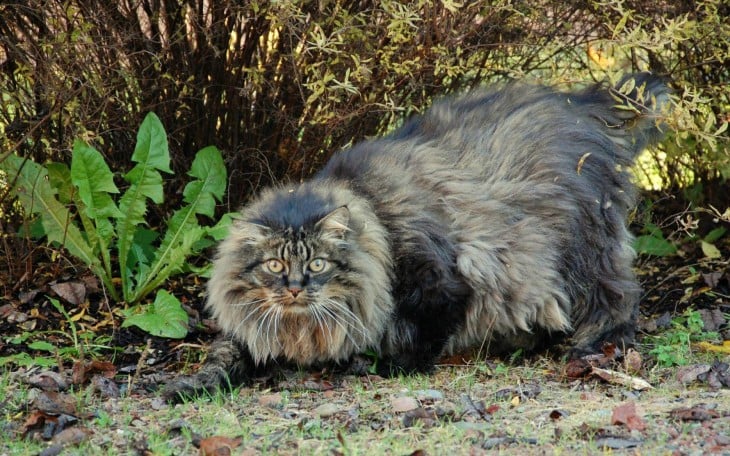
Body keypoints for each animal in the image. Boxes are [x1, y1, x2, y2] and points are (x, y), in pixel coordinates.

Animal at [162, 73, 668, 398]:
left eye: (318, 264)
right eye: (274, 265)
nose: (294, 289)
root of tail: (580, 103)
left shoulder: (444, 281)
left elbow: (421, 339)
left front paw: (381, 363)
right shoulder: (247, 332)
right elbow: (221, 356)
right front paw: (189, 386)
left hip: (581, 245)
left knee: (617, 295)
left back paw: (596, 346)